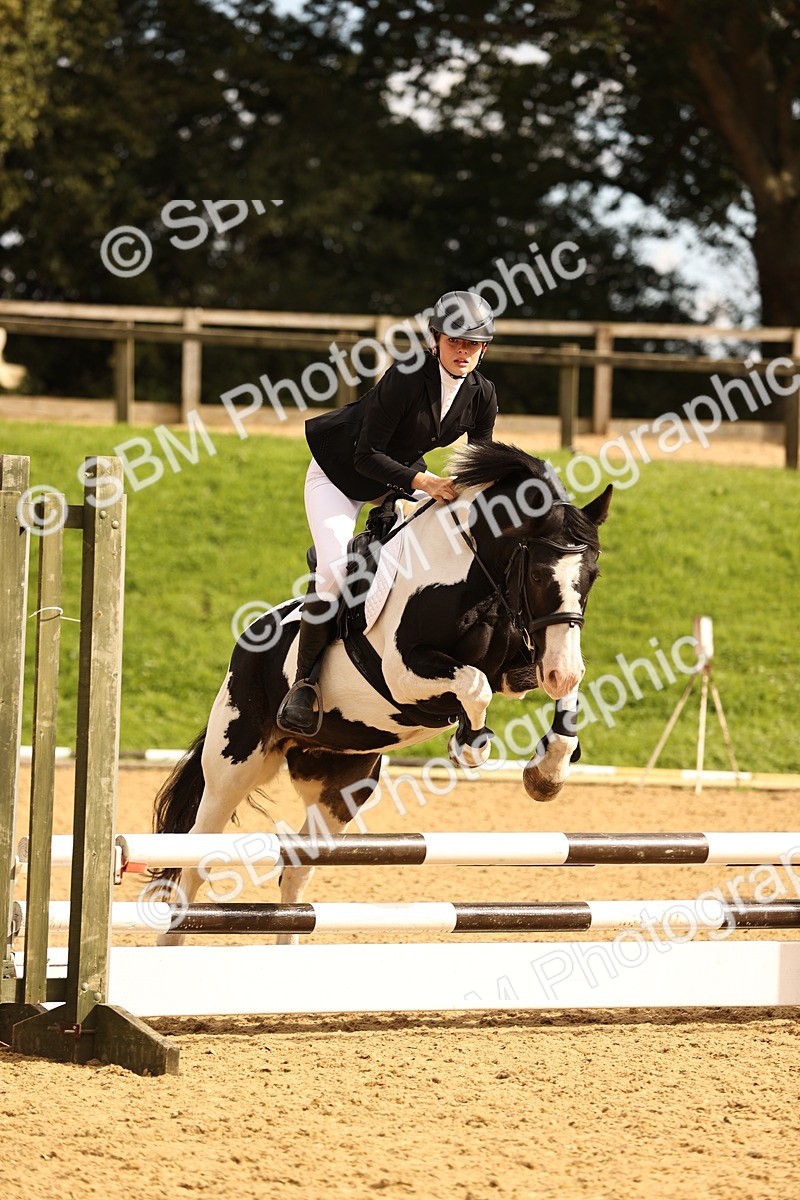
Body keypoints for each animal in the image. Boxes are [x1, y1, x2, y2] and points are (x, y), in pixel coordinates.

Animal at [152, 441, 612, 942]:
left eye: (592, 576)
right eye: (538, 577)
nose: (561, 671)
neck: (472, 576)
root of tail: (247, 642)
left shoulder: (526, 664)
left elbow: (559, 696)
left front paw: (547, 773)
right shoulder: (403, 673)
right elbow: (475, 687)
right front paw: (469, 746)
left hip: (341, 787)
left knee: (296, 868)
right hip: (233, 765)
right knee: (194, 861)